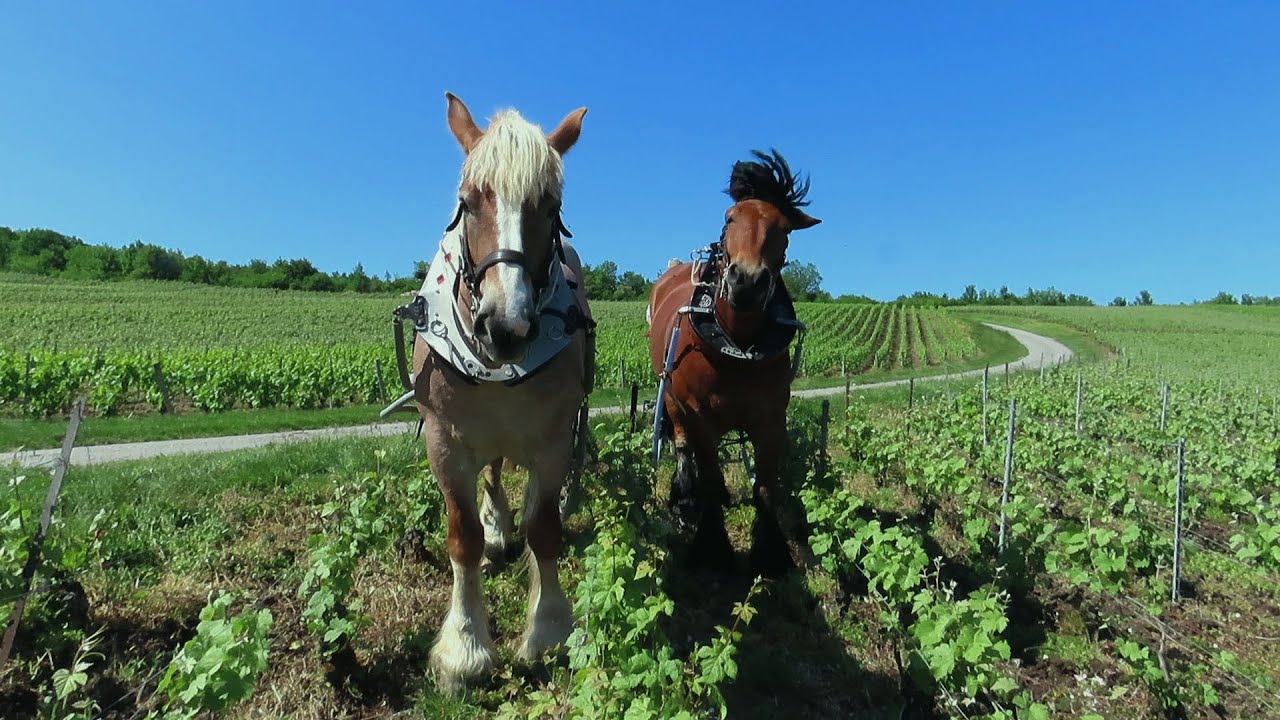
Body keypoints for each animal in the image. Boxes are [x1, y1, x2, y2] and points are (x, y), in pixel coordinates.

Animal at [408, 92, 592, 694]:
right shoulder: (444, 441)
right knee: (490, 476)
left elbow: (545, 529)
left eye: (551, 205)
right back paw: (496, 528)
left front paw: (548, 630)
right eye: (468, 203)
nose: (505, 325)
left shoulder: (554, 441)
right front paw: (464, 649)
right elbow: (461, 537)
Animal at [646, 149, 820, 577]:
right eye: (729, 218)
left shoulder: (771, 417)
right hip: (671, 397)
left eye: (784, 229)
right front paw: (713, 548)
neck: (738, 346)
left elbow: (766, 488)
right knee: (681, 445)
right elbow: (709, 477)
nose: (746, 281)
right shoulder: (698, 415)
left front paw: (772, 551)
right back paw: (684, 499)